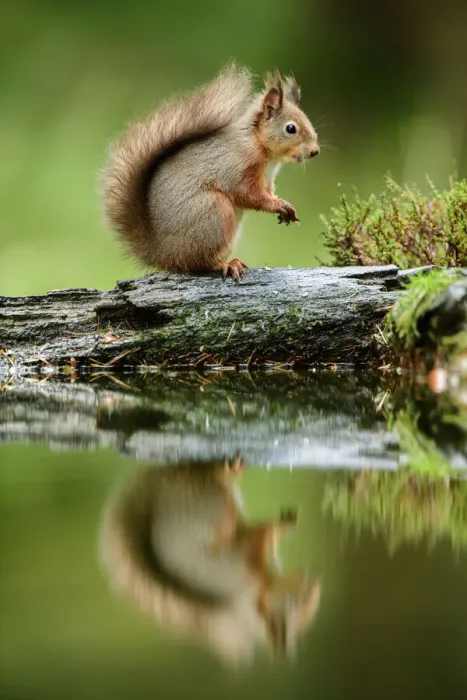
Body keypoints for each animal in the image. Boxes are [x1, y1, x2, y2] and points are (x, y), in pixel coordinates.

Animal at [99, 457, 321, 667]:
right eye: (297, 605)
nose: (312, 583)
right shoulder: (247, 556)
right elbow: (261, 536)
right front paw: (283, 525)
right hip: (215, 509)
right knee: (220, 491)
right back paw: (228, 469)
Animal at [101, 64, 319, 282]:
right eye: (290, 128)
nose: (315, 151)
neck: (258, 144)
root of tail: (164, 252)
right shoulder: (236, 167)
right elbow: (249, 195)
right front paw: (278, 205)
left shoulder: (267, 180)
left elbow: (267, 192)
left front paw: (283, 207)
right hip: (214, 211)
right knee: (199, 263)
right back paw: (227, 265)